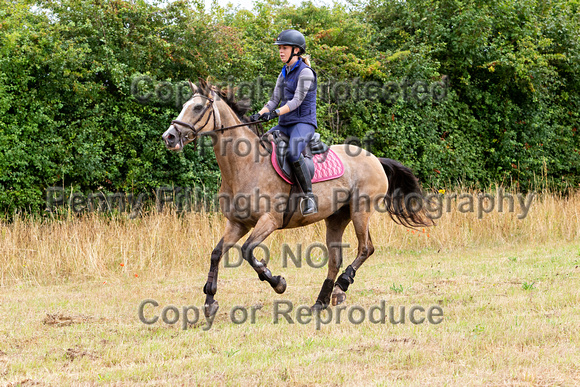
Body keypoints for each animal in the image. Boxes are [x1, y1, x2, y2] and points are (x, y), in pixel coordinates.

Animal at [161, 78, 432, 318]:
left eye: (197, 108)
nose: (169, 137)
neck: (245, 165)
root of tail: (375, 158)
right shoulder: (237, 224)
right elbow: (217, 253)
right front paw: (210, 302)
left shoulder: (269, 221)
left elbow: (248, 252)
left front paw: (277, 282)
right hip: (337, 217)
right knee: (335, 259)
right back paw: (321, 301)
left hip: (360, 210)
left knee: (366, 248)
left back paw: (341, 287)